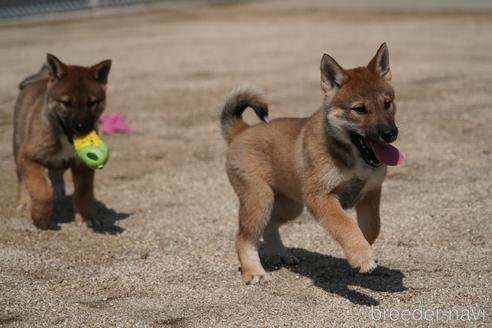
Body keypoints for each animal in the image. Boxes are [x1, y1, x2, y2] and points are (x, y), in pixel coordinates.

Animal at [13, 53, 111, 229]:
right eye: (66, 103)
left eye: (92, 103)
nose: (81, 127)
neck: (63, 137)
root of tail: (41, 77)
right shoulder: (28, 157)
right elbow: (41, 189)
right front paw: (40, 217)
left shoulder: (82, 165)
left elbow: (83, 192)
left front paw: (86, 217)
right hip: (17, 150)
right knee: (22, 179)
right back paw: (23, 201)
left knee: (56, 172)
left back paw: (58, 190)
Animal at [220, 43, 404, 284]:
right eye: (359, 109)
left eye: (387, 103)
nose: (390, 133)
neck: (353, 157)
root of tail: (242, 131)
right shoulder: (320, 198)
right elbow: (346, 225)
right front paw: (362, 256)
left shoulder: (371, 193)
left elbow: (372, 227)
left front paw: (361, 252)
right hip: (260, 198)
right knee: (243, 237)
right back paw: (254, 272)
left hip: (290, 205)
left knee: (270, 226)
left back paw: (279, 254)